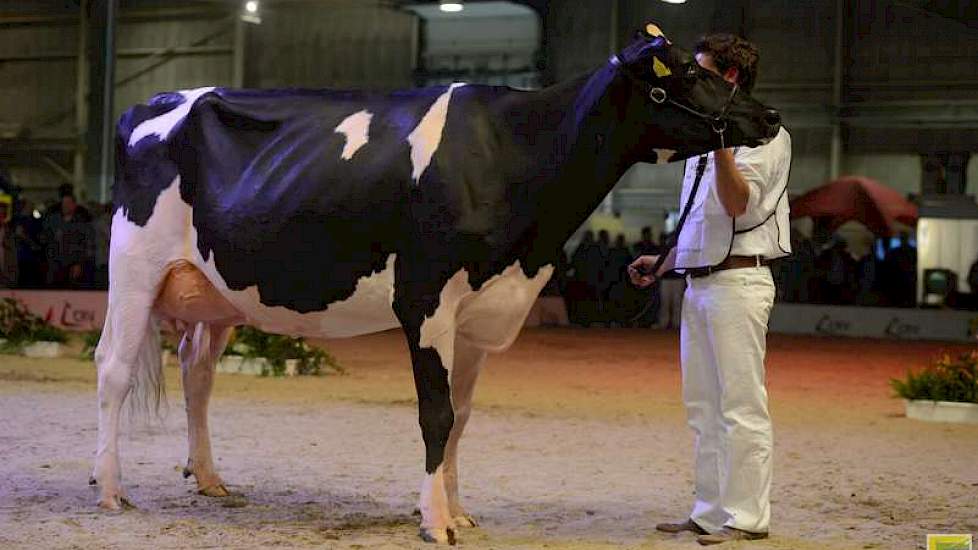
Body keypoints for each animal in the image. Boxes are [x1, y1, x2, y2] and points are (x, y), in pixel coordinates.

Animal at [93, 23, 776, 544]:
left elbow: (463, 415)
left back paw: (209, 478)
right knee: (115, 368)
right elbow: (436, 413)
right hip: (133, 268)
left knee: (196, 372)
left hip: (215, 292)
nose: (769, 114)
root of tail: (149, 104)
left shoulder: (478, 314)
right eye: (684, 72)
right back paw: (110, 489)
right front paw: (434, 521)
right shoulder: (425, 301)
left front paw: (459, 509)